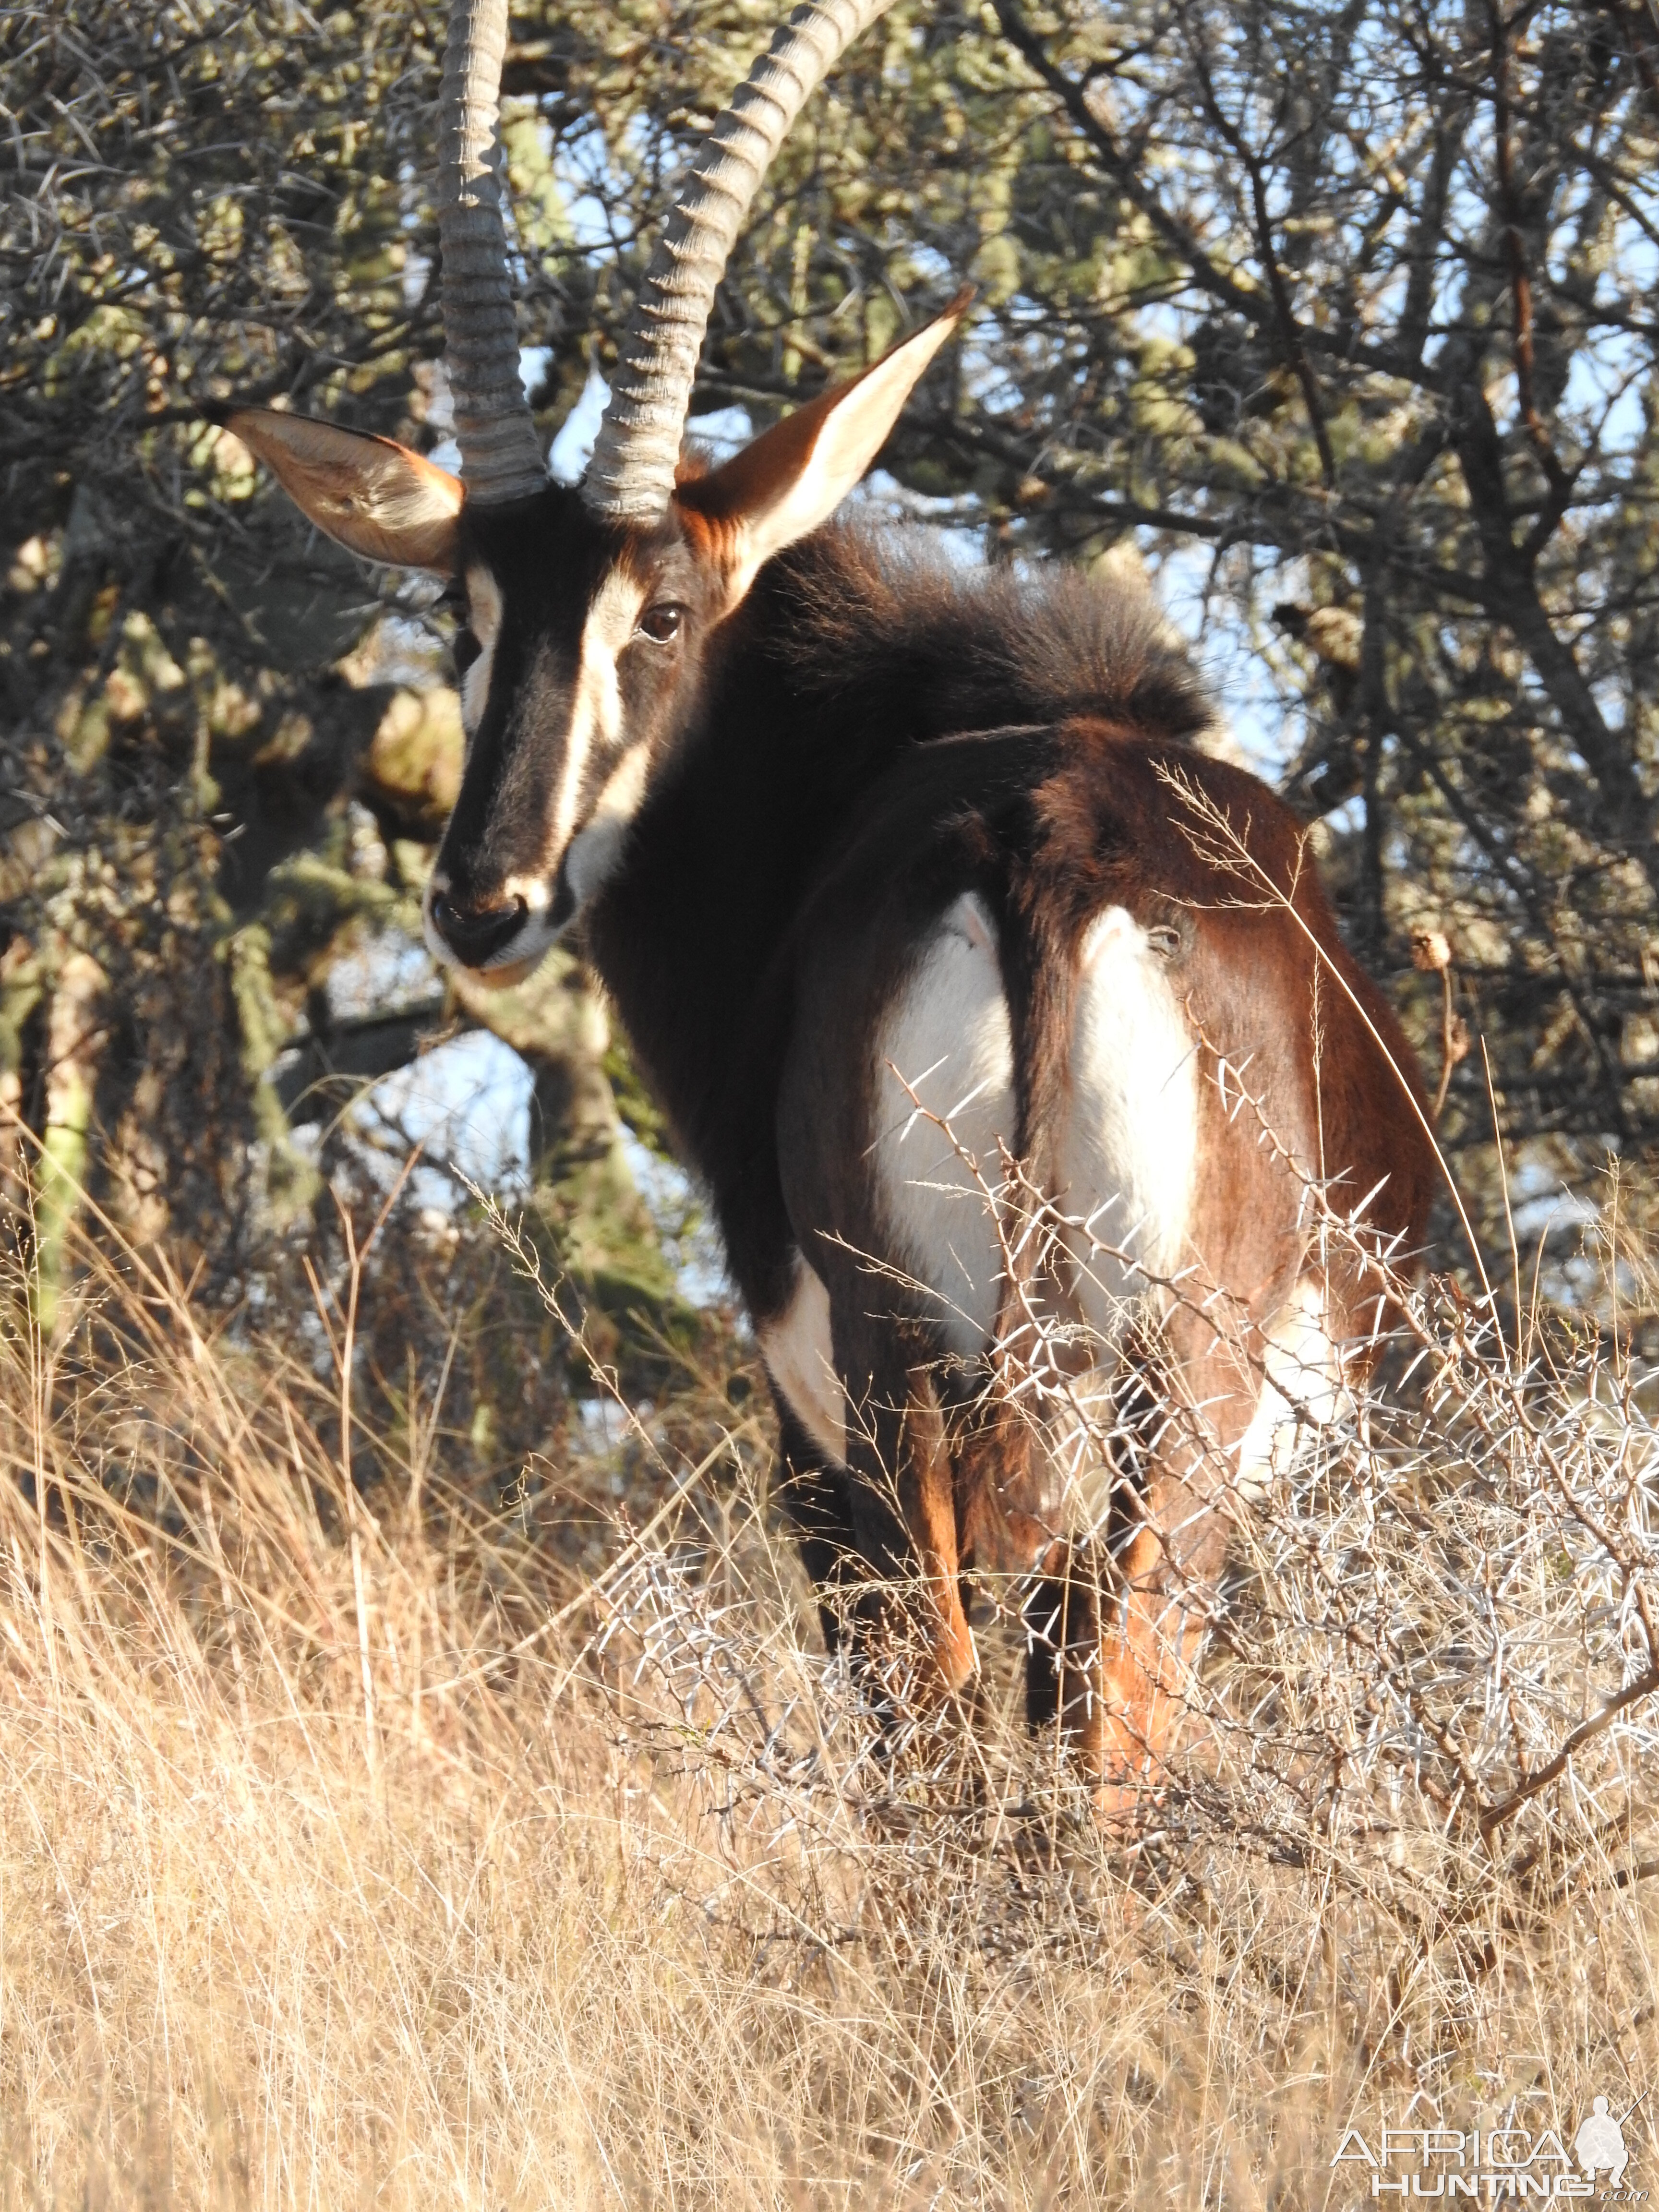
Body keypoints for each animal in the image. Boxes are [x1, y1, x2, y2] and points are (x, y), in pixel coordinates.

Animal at [221, 0, 1442, 1796]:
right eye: (466, 613)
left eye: (662, 612)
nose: (484, 900)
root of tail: (1048, 849)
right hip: (1073, 1393)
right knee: (1059, 1720)